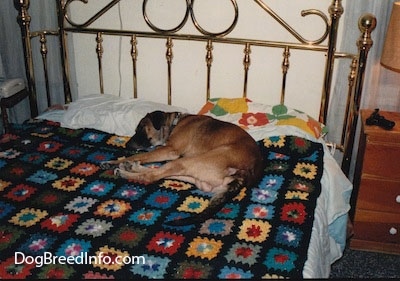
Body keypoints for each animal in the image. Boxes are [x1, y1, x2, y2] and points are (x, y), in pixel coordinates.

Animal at [100, 110, 264, 224]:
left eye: (141, 128)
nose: (127, 145)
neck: (174, 123)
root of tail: (245, 173)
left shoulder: (169, 150)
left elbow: (137, 156)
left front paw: (114, 161)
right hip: (193, 171)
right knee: (163, 173)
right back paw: (131, 167)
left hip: (187, 161)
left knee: (151, 176)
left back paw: (124, 171)